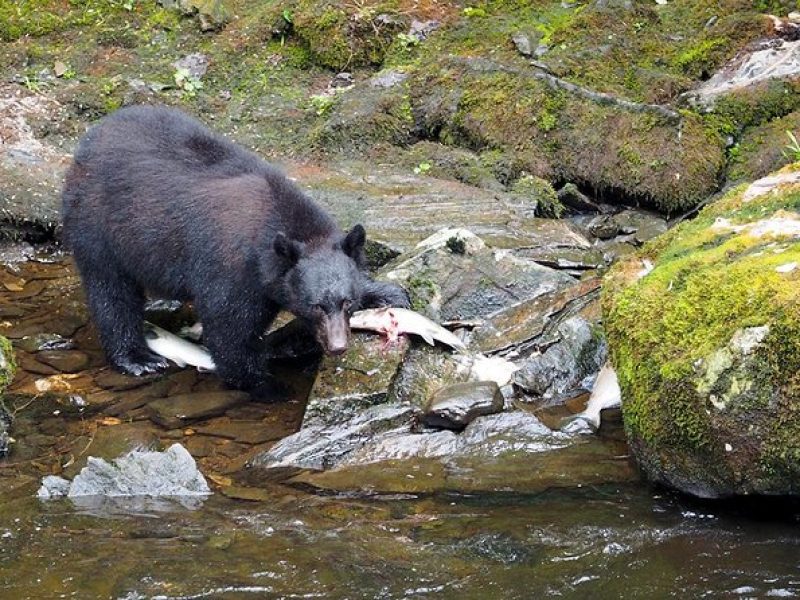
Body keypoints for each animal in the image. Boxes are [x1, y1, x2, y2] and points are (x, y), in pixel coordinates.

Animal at [62, 105, 410, 392]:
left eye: (347, 301)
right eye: (315, 305)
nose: (338, 346)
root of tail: (90, 138)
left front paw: (390, 293)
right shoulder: (233, 271)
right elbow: (228, 331)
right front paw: (264, 383)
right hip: (97, 225)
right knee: (111, 293)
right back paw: (137, 358)